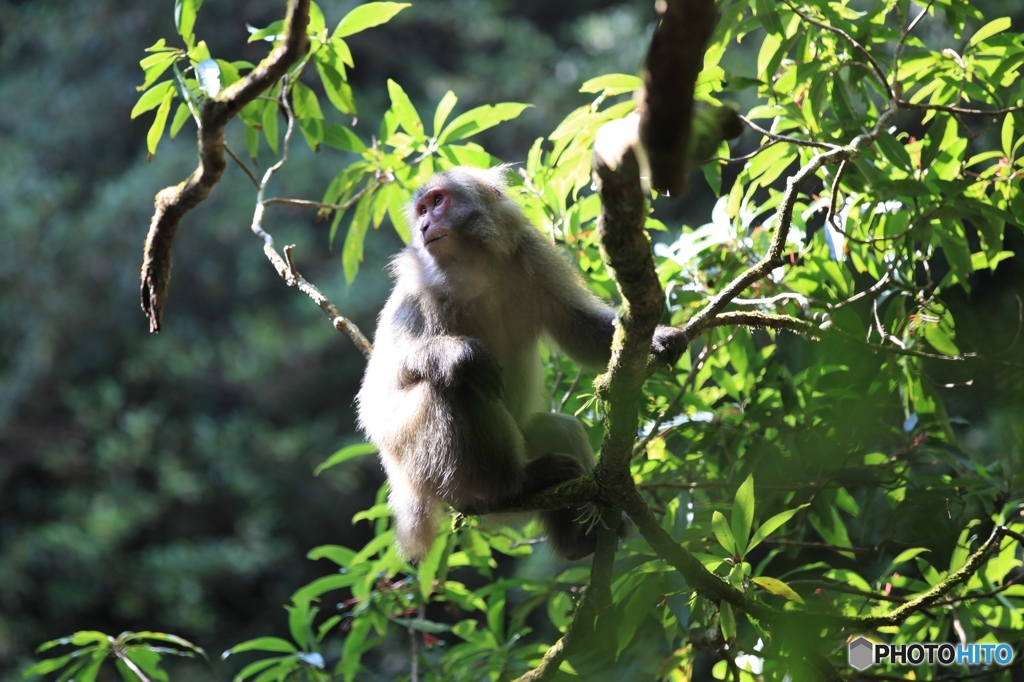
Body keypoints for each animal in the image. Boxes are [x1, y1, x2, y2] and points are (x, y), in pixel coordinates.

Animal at [356, 164, 684, 557]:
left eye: (436, 202)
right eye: (421, 210)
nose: (423, 225)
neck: (476, 270)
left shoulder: (531, 255)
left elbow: (577, 328)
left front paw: (658, 339)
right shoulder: (419, 289)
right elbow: (385, 387)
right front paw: (461, 353)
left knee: (560, 429)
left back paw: (579, 538)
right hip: (415, 455)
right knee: (451, 386)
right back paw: (514, 483)